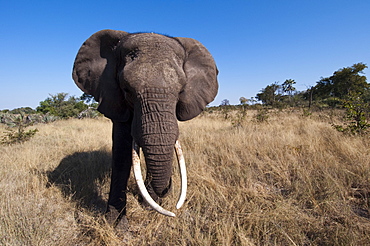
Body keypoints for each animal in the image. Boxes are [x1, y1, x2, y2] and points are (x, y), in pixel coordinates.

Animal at [71, 29, 218, 228]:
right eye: (126, 90)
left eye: (181, 92)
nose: (166, 191)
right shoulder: (115, 98)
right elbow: (122, 151)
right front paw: (116, 224)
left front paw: (149, 204)